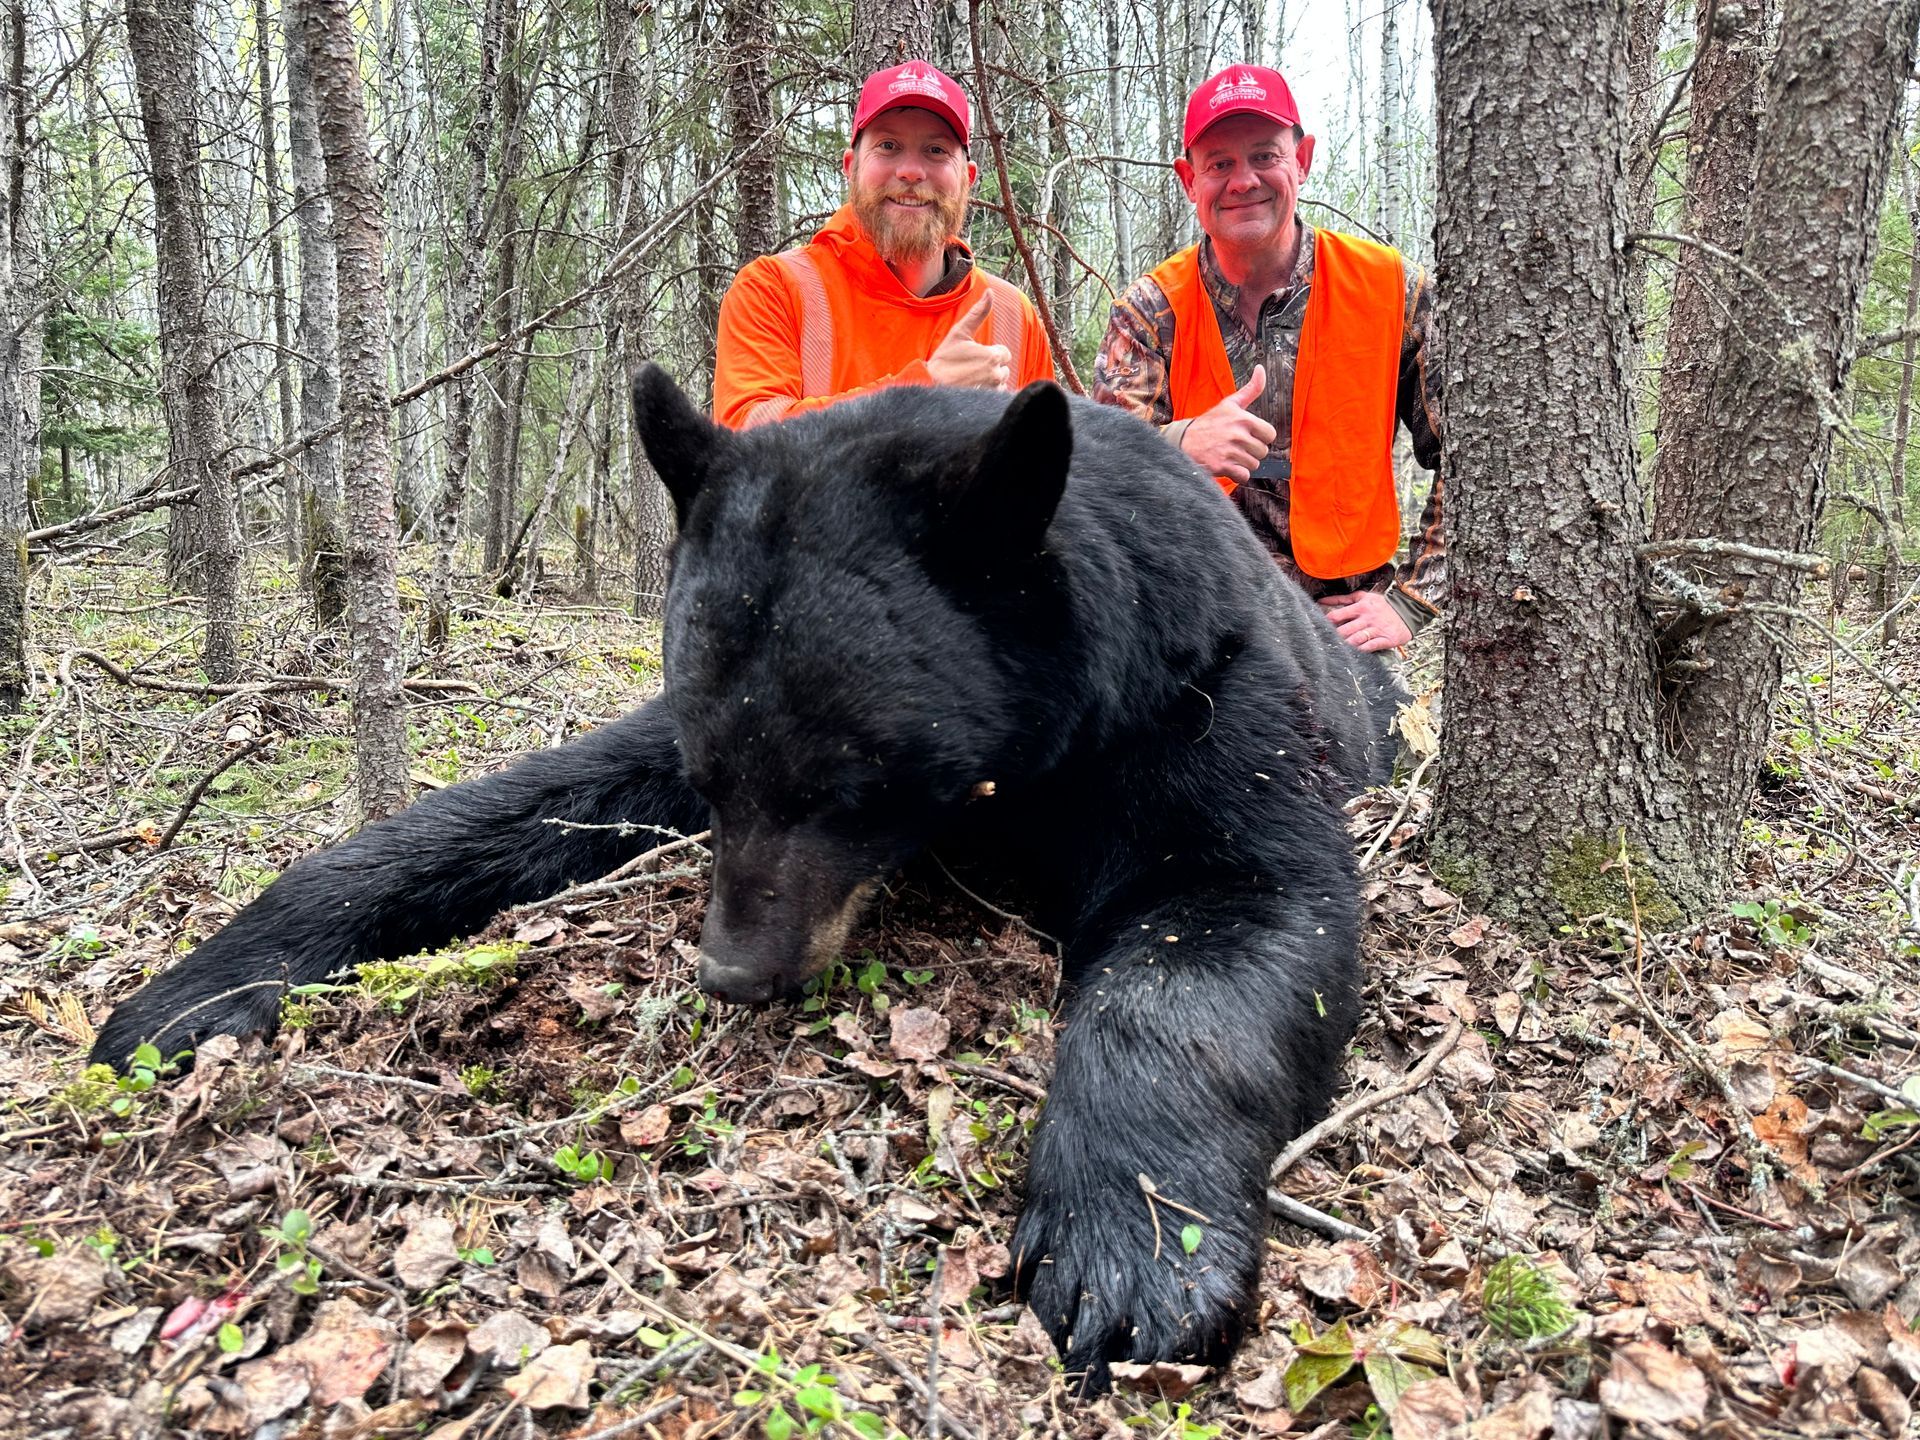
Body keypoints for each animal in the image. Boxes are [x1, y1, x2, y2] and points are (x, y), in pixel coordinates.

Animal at [91, 368, 1397, 1393]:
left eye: (850, 779)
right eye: (717, 771)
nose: (732, 968)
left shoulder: (1199, 703)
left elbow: (1235, 910)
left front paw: (1131, 1257)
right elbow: (527, 801)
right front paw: (192, 991)